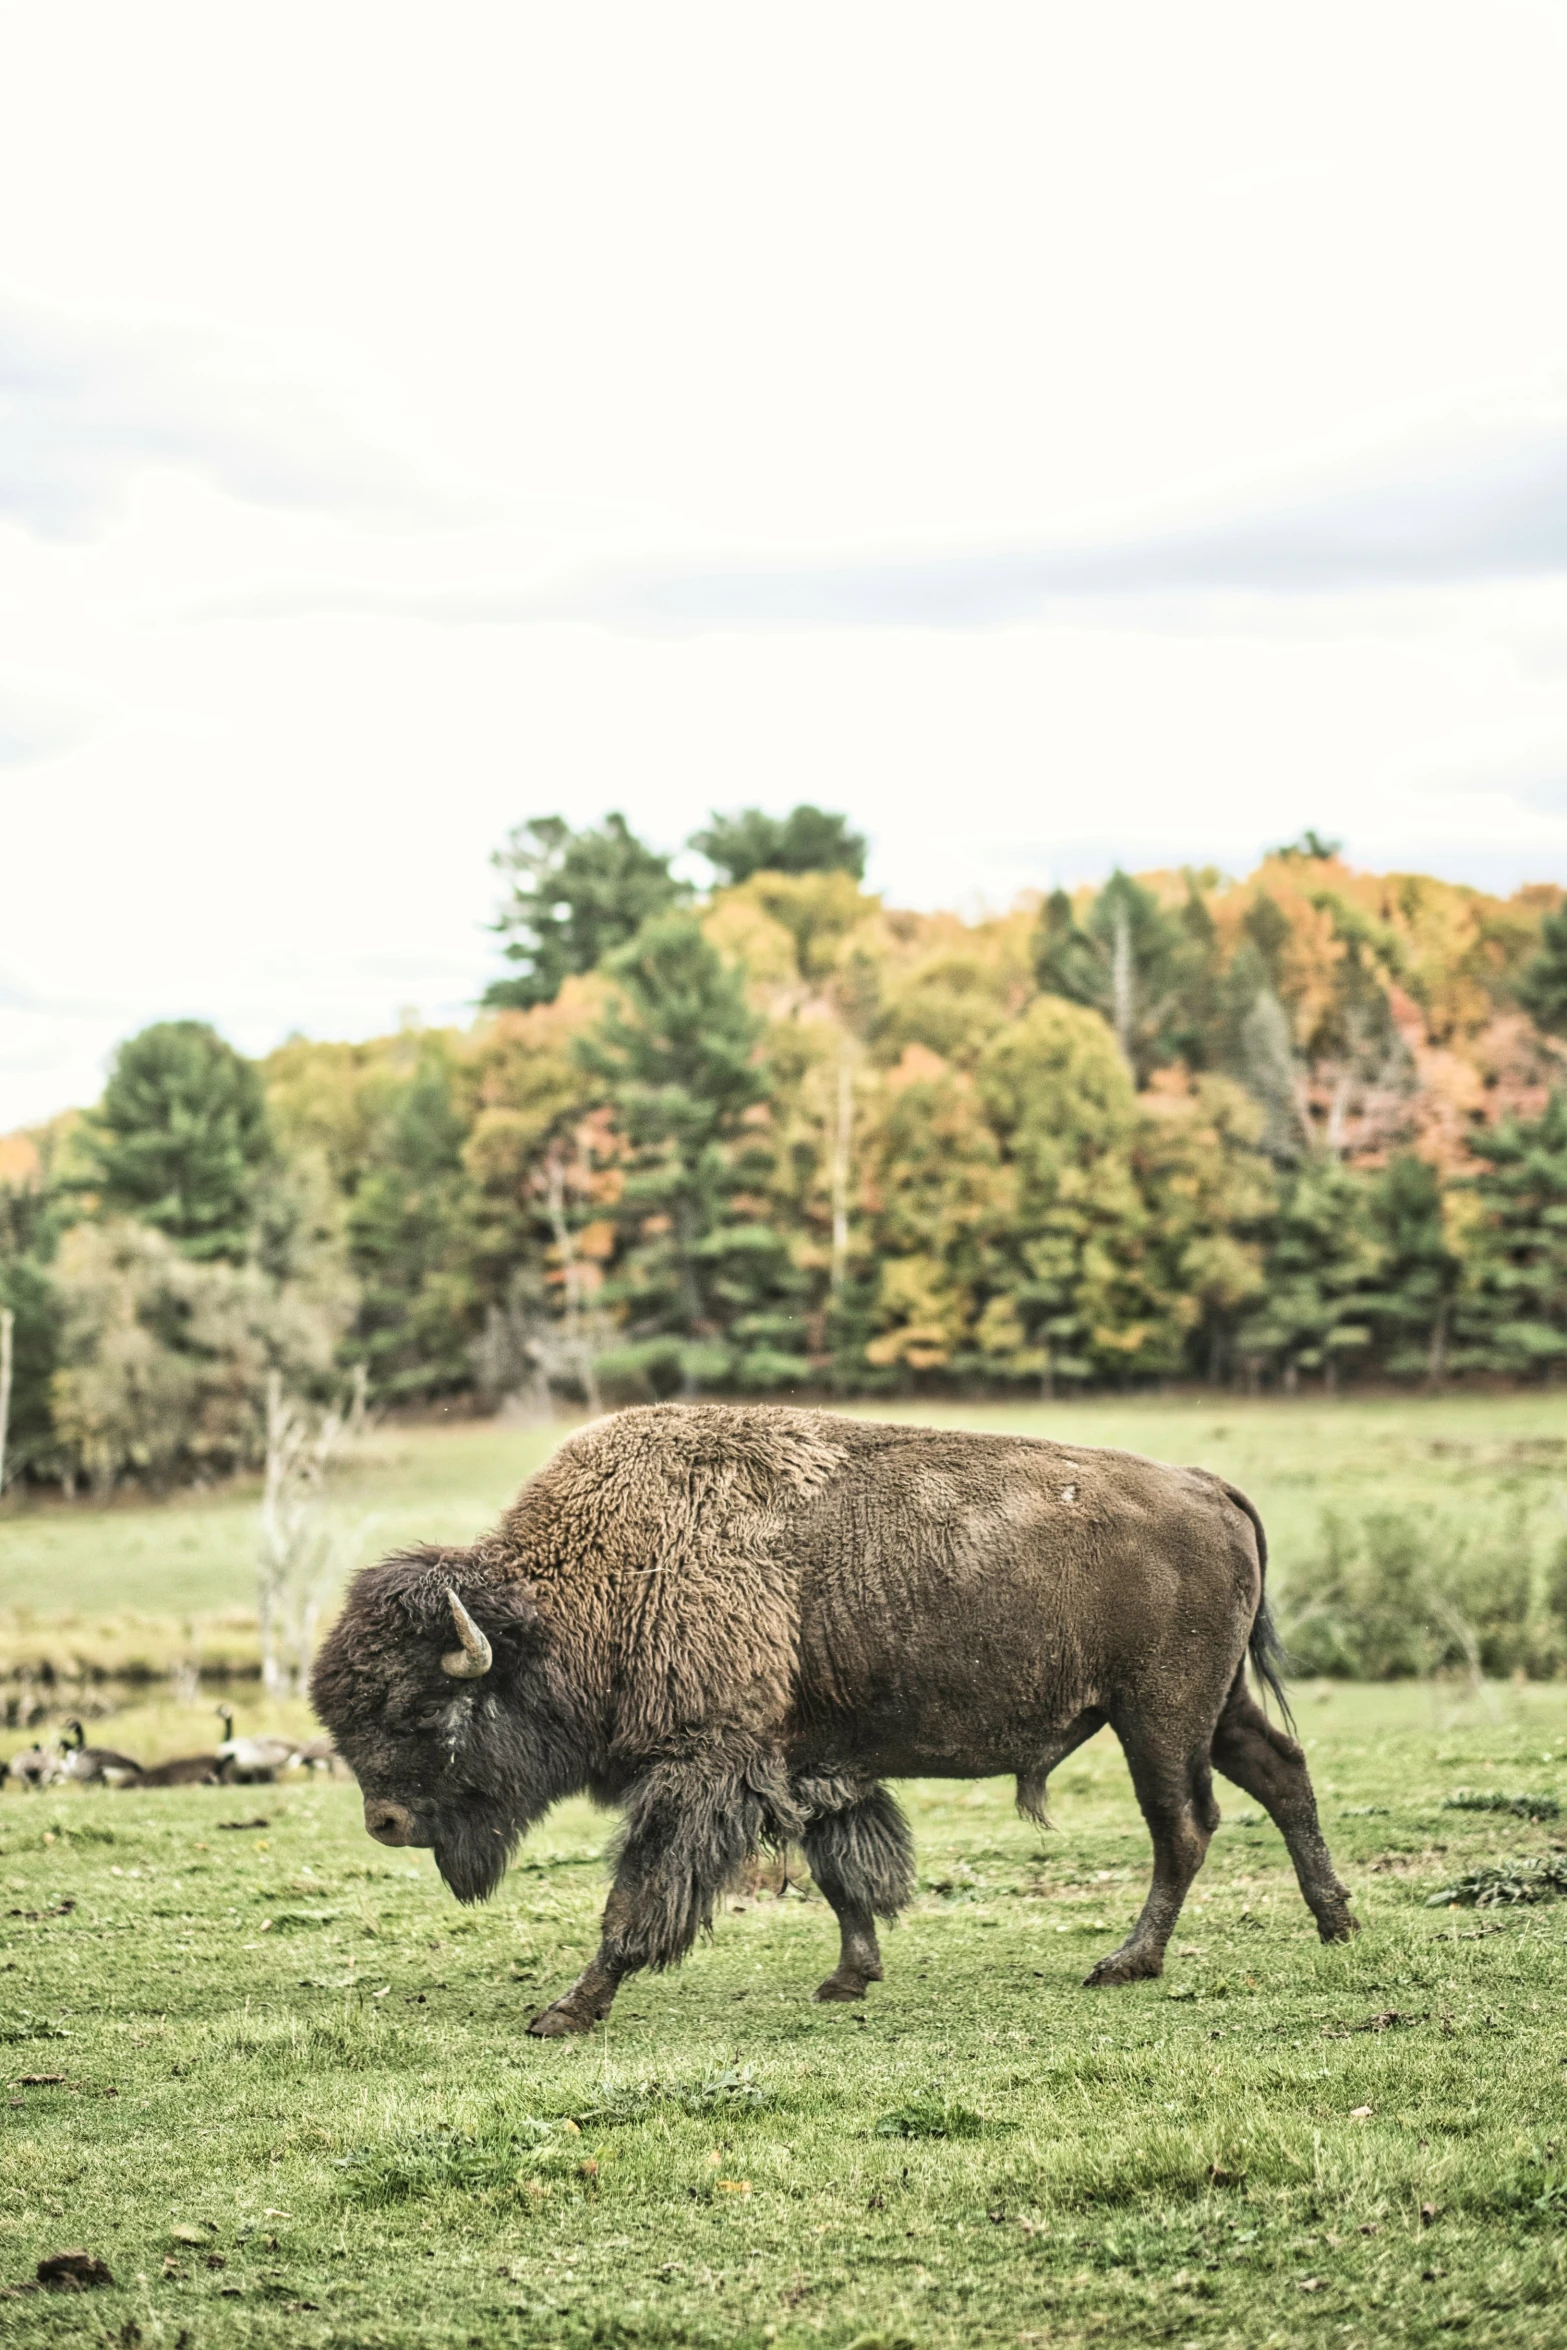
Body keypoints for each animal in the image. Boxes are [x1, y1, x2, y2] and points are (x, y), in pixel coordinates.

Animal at [312, 1400, 1353, 2030]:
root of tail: (1205, 1484)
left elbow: (640, 1892)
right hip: (1212, 1706)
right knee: (1282, 1774)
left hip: (1159, 1716)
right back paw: (1334, 1923)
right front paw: (849, 1978)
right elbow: (842, 1870)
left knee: (1184, 1826)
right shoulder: (806, 1761)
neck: (591, 1586)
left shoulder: (703, 1765)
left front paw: (566, 2010)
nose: (384, 1822)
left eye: (426, 1708)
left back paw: (1125, 1963)